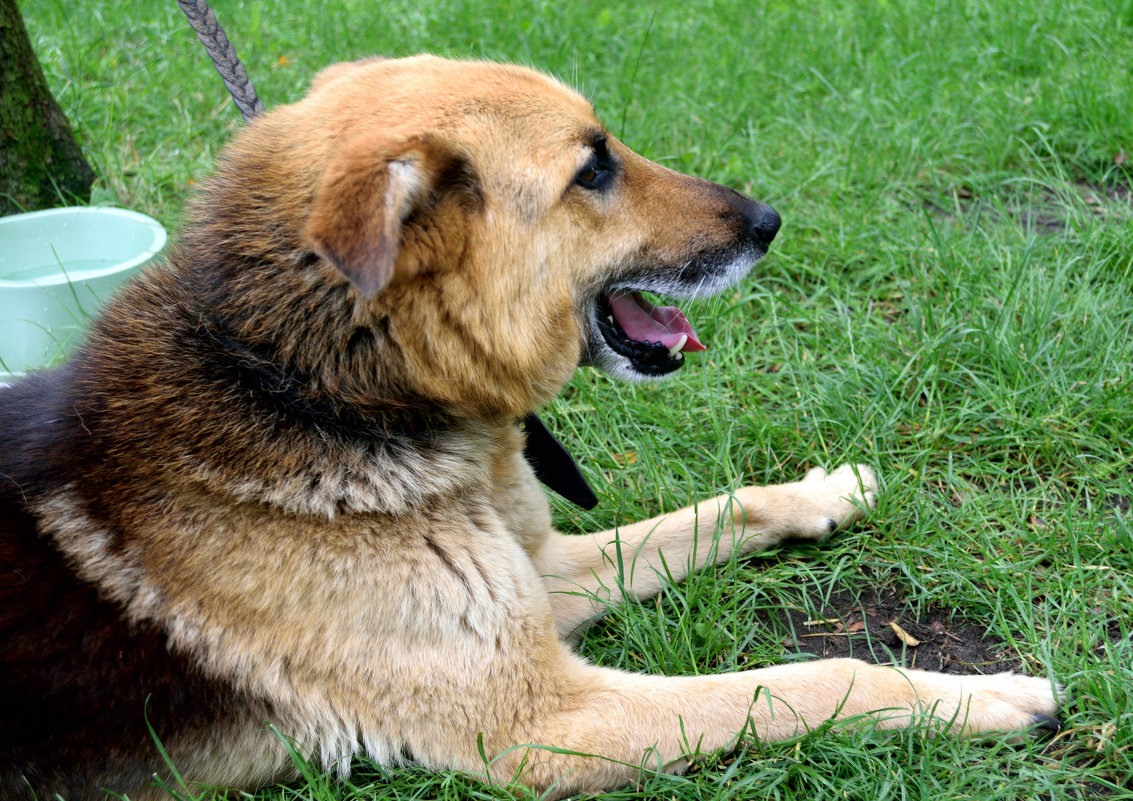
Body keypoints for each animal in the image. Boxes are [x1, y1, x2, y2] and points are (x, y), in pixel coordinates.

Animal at [2, 58, 1060, 801]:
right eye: (591, 169)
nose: (768, 220)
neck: (309, 382)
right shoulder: (548, 718)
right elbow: (806, 679)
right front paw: (970, 697)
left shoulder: (535, 576)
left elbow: (720, 509)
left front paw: (819, 493)